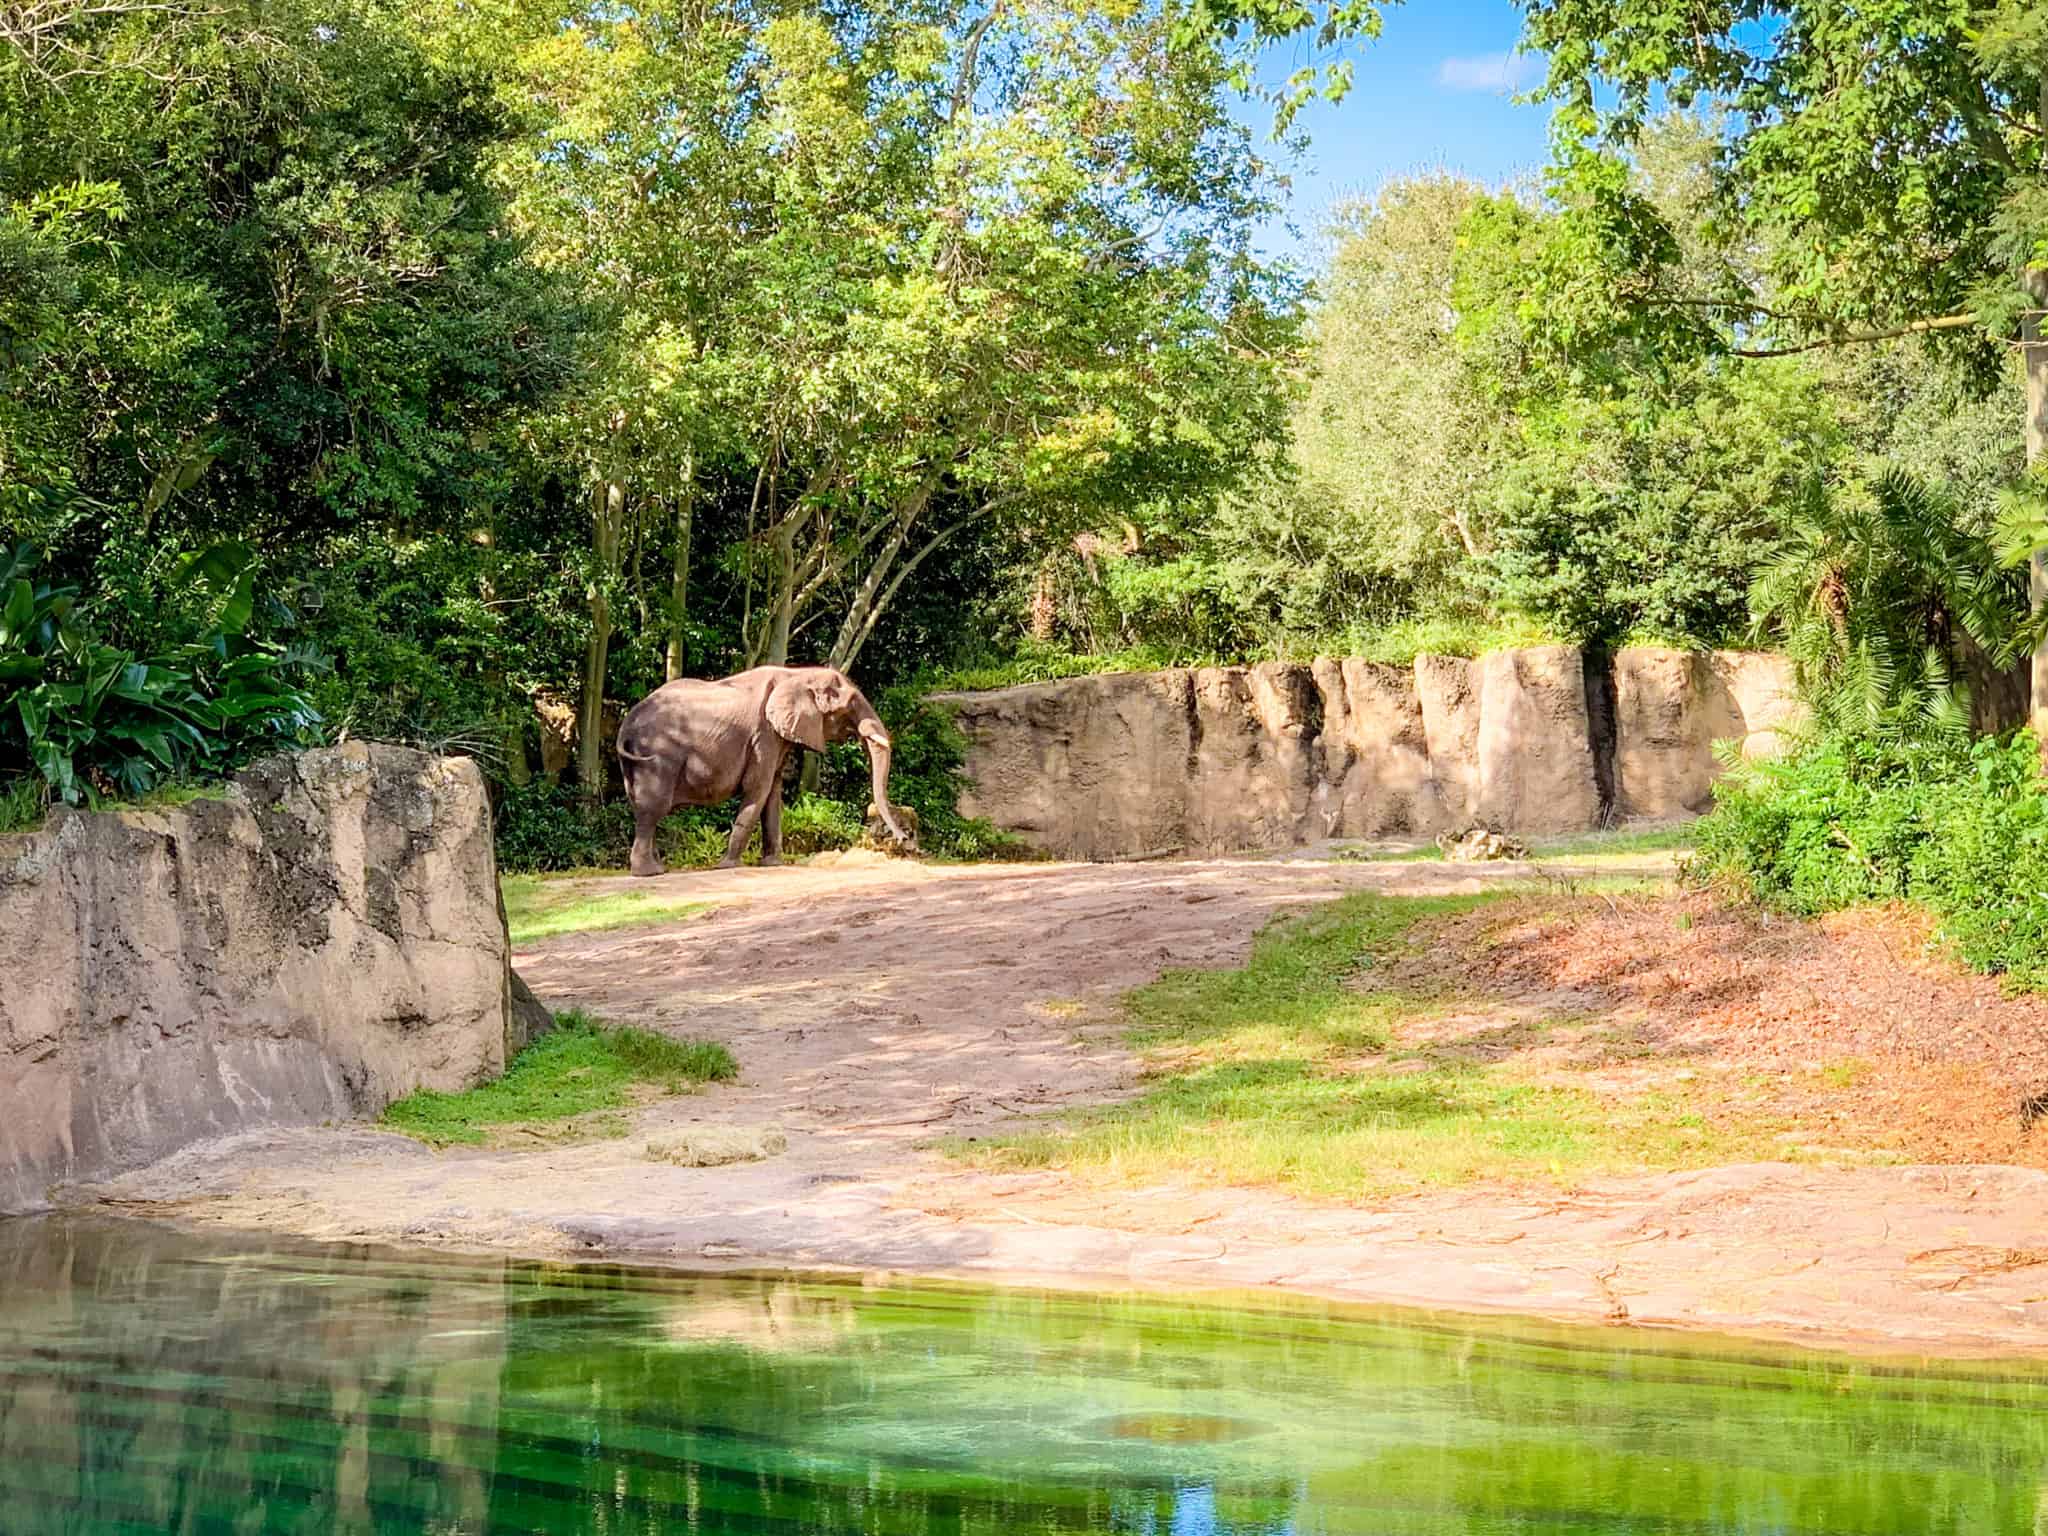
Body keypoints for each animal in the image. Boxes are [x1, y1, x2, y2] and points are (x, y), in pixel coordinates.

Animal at [614, 664, 914, 877]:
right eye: (849, 706)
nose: (905, 841)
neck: (797, 674)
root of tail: (626, 724)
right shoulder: (763, 734)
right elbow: (758, 788)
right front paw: (727, 866)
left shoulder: (776, 738)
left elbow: (772, 793)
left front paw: (771, 864)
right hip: (658, 754)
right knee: (653, 809)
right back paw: (648, 873)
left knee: (643, 808)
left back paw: (657, 869)